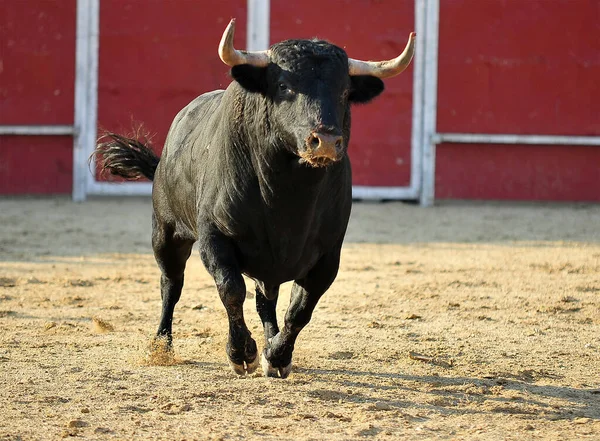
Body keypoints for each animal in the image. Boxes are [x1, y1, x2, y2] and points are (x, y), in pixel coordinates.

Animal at [94, 20, 414, 376]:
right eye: (284, 85)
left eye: (345, 91)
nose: (326, 140)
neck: (286, 196)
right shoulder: (214, 236)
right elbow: (231, 290)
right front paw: (241, 353)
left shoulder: (328, 255)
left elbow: (300, 309)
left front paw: (277, 356)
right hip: (165, 232)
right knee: (171, 285)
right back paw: (161, 345)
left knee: (265, 300)